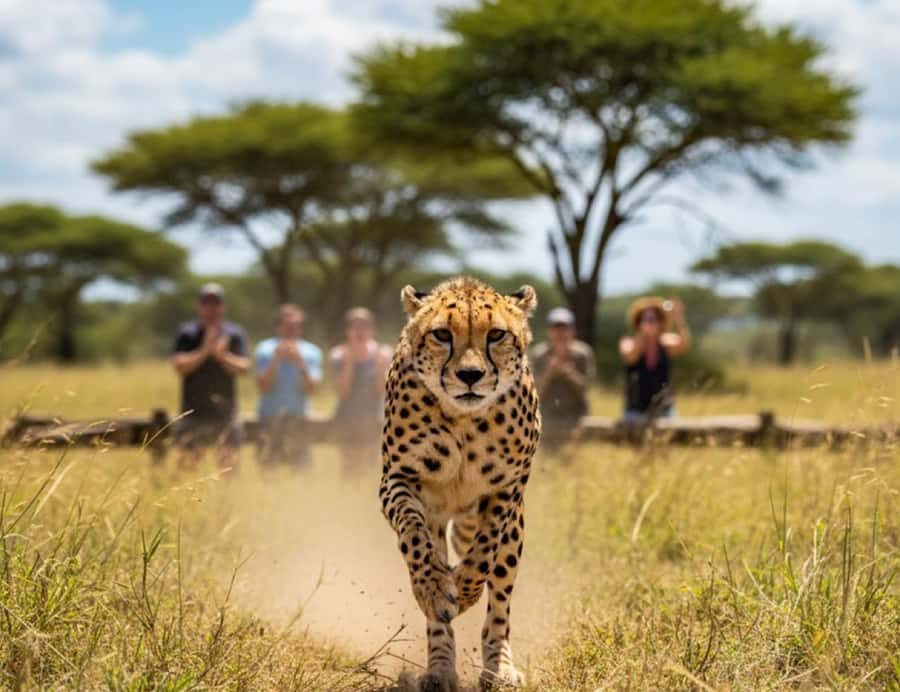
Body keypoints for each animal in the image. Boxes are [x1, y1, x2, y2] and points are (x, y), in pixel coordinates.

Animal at [379, 277, 541, 691]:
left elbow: (484, 552)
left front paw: (465, 589)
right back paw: (440, 669)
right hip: (437, 517)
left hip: (515, 530)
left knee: (500, 601)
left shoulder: (507, 488)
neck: (465, 418)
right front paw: (436, 590)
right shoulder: (398, 478)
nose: (470, 375)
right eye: (441, 334)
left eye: (496, 334)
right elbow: (414, 539)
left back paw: (498, 667)